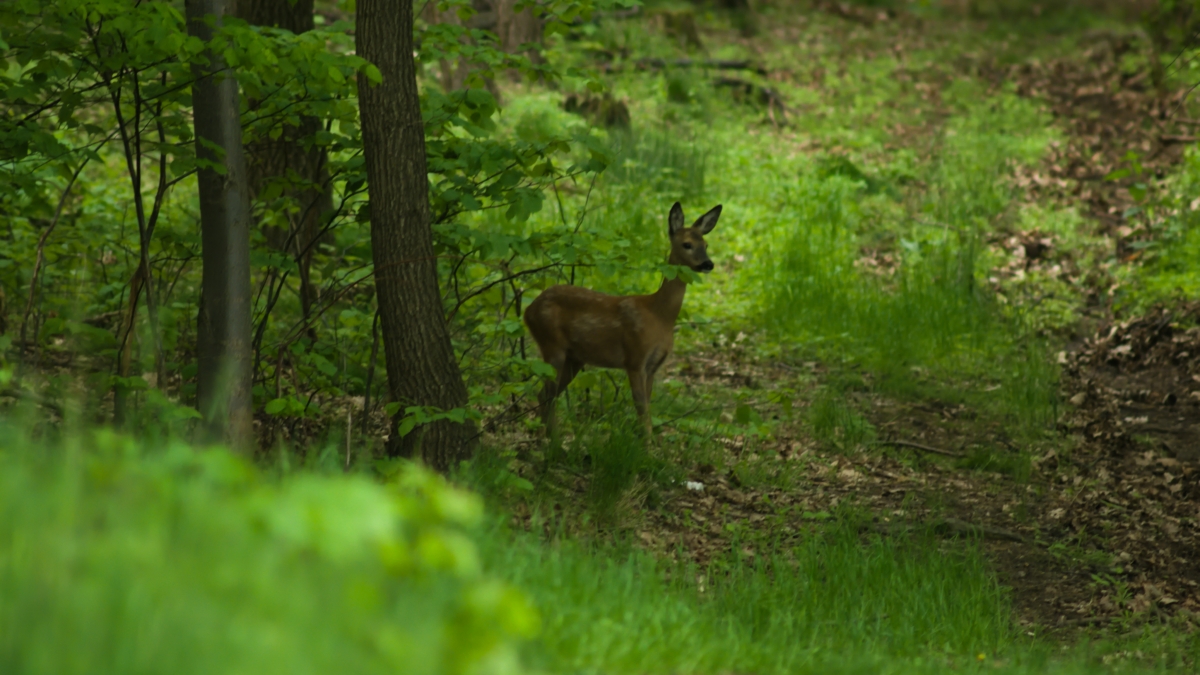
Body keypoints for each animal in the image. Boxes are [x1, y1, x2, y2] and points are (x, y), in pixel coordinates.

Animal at [518, 199, 720, 441]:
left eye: (706, 244)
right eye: (687, 244)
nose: (708, 264)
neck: (660, 316)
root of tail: (528, 309)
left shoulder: (653, 365)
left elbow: (648, 407)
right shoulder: (634, 357)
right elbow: (642, 411)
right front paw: (647, 446)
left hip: (574, 358)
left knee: (546, 394)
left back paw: (550, 438)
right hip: (551, 344)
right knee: (547, 394)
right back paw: (551, 440)